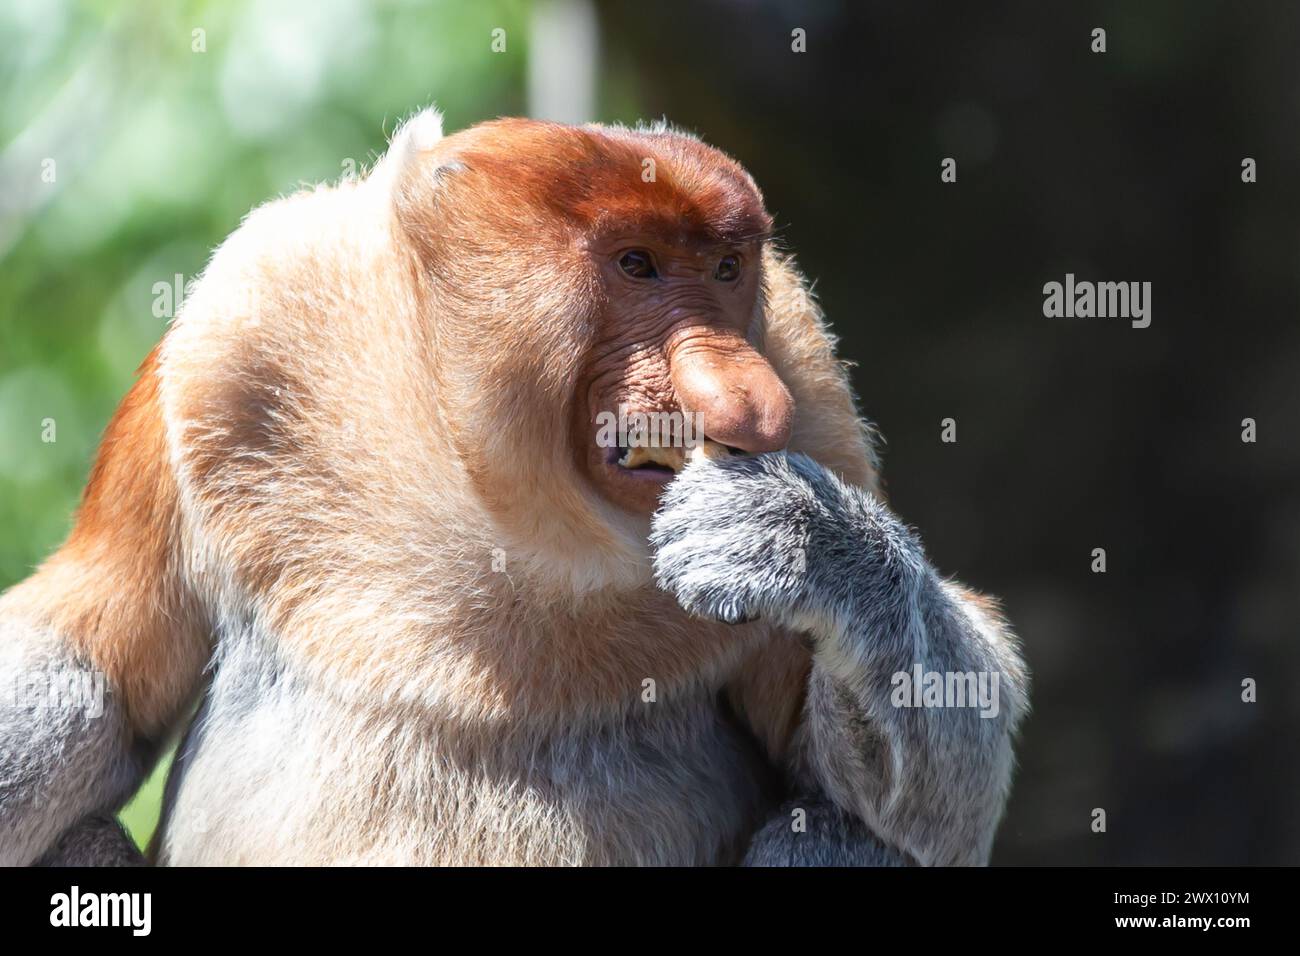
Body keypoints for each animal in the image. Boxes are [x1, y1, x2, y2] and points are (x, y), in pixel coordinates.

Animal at [0, 110, 1027, 866]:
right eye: (637, 263)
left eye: (729, 269)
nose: (746, 401)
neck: (493, 481)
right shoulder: (225, 345)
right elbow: (84, 659)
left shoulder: (814, 393)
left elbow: (919, 796)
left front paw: (795, 536)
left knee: (847, 832)